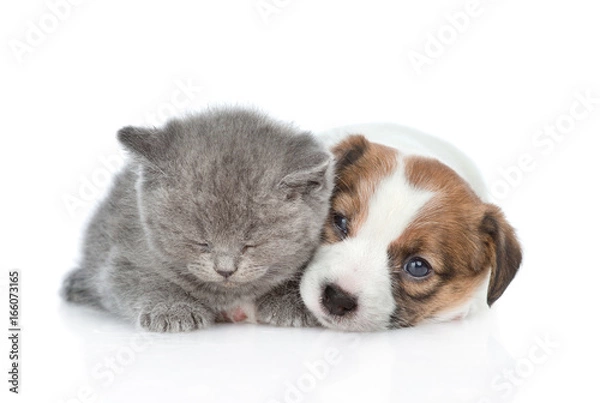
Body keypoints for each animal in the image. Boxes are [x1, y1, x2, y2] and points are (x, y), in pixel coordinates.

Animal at [61, 107, 332, 332]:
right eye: (202, 242)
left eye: (250, 244)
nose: (225, 270)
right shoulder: (124, 253)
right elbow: (143, 279)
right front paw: (173, 308)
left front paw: (292, 303)